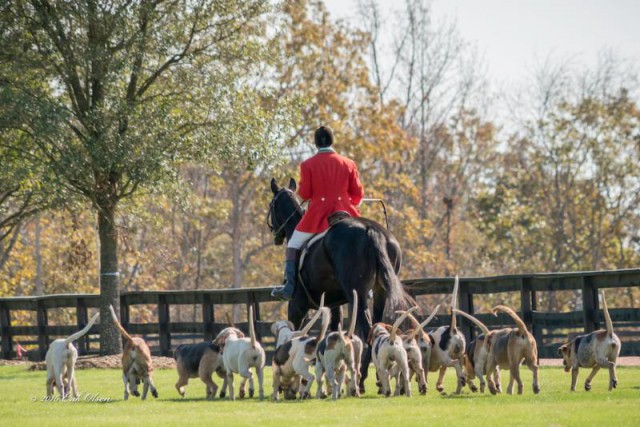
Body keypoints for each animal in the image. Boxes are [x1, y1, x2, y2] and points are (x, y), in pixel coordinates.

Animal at [268, 178, 412, 392]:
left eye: (271, 205)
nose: (275, 234)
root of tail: (371, 230)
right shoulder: (334, 305)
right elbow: (332, 331)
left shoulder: (296, 305)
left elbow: (294, 333)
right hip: (379, 293)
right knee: (375, 328)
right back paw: (376, 379)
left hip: (358, 295)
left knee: (367, 331)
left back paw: (361, 380)